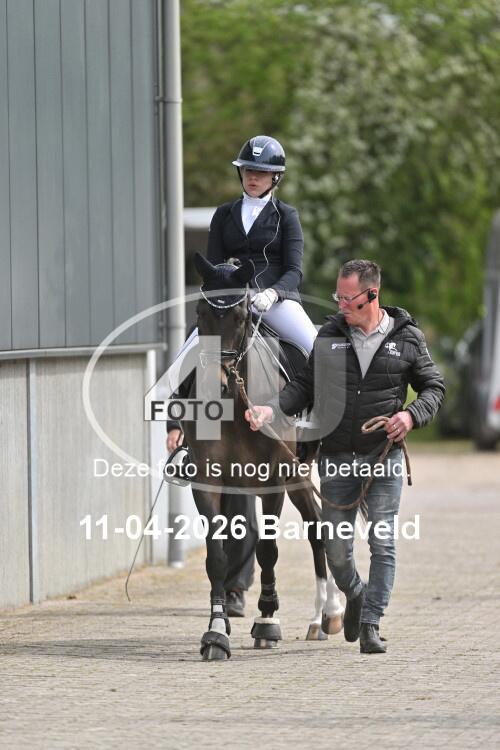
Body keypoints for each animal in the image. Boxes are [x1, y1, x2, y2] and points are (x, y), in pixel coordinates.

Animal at [180, 252, 343, 661]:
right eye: (200, 312)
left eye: (241, 316)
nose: (217, 383)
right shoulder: (207, 481)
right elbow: (217, 555)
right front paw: (216, 632)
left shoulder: (273, 479)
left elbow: (268, 549)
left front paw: (268, 621)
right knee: (317, 527)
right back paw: (320, 619)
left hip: (301, 470)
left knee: (320, 529)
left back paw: (329, 614)